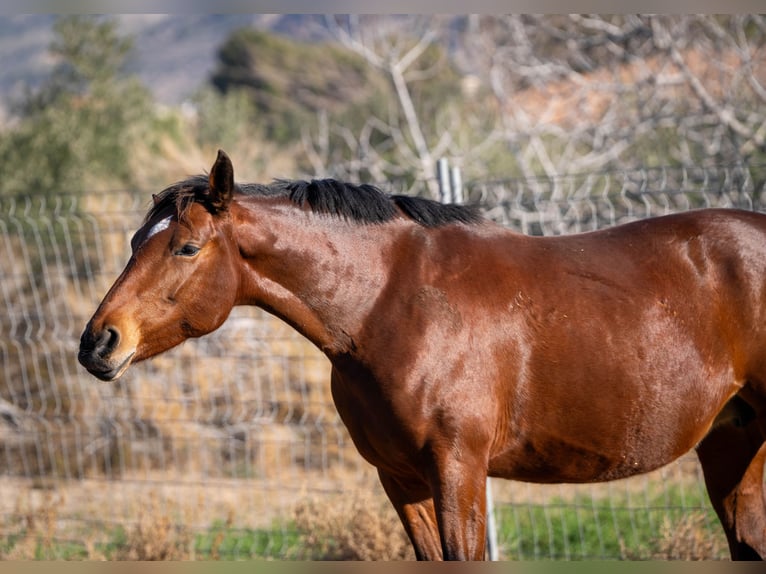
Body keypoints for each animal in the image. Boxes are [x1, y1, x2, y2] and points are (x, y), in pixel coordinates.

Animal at [79, 151, 766, 560]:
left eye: (186, 247)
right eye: (135, 241)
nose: (98, 343)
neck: (388, 303)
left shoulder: (458, 469)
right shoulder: (400, 478)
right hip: (733, 444)